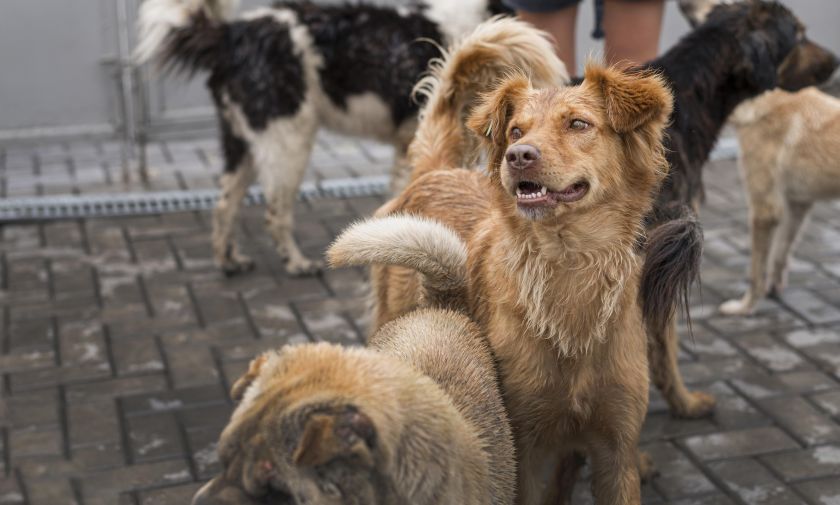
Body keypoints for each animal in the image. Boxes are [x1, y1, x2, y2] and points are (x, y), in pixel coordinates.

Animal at [137, 0, 520, 276]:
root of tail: (232, 36)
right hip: (288, 141)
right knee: (275, 213)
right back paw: (295, 263)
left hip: (242, 142)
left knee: (224, 205)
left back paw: (228, 261)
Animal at [354, 64, 676, 504]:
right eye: (516, 131)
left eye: (579, 124)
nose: (519, 155)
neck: (568, 266)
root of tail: (436, 171)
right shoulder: (520, 450)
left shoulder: (616, 451)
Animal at [720, 87, 840, 316]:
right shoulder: (797, 205)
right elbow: (780, 254)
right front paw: (773, 290)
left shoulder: (764, 211)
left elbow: (755, 273)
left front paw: (745, 307)